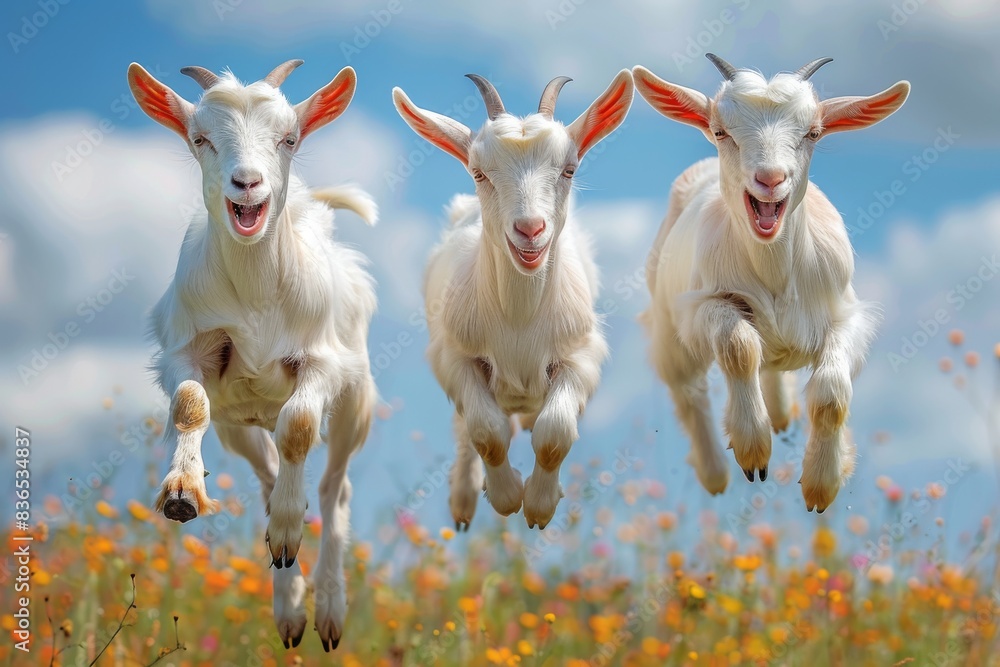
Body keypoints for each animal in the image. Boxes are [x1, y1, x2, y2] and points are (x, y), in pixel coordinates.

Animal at [127, 60, 377, 651]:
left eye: (289, 138)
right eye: (200, 139)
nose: (247, 183)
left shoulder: (322, 362)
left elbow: (300, 424)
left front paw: (289, 526)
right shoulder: (185, 350)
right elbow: (189, 403)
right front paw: (182, 491)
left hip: (356, 404)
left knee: (334, 489)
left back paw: (328, 610)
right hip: (237, 425)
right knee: (267, 476)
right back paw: (288, 608)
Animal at [392, 71, 633, 529]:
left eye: (569, 169)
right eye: (478, 173)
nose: (530, 229)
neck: (519, 319)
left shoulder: (581, 354)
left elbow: (554, 432)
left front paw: (538, 506)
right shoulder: (455, 356)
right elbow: (486, 433)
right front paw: (506, 497)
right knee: (465, 429)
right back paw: (464, 502)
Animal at [632, 55, 909, 512]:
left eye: (813, 133)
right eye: (721, 131)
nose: (770, 179)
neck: (775, 269)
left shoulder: (846, 313)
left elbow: (832, 392)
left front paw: (822, 482)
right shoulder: (701, 305)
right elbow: (738, 346)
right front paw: (753, 450)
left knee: (774, 366)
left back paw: (781, 414)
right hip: (668, 329)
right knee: (689, 391)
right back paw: (714, 473)